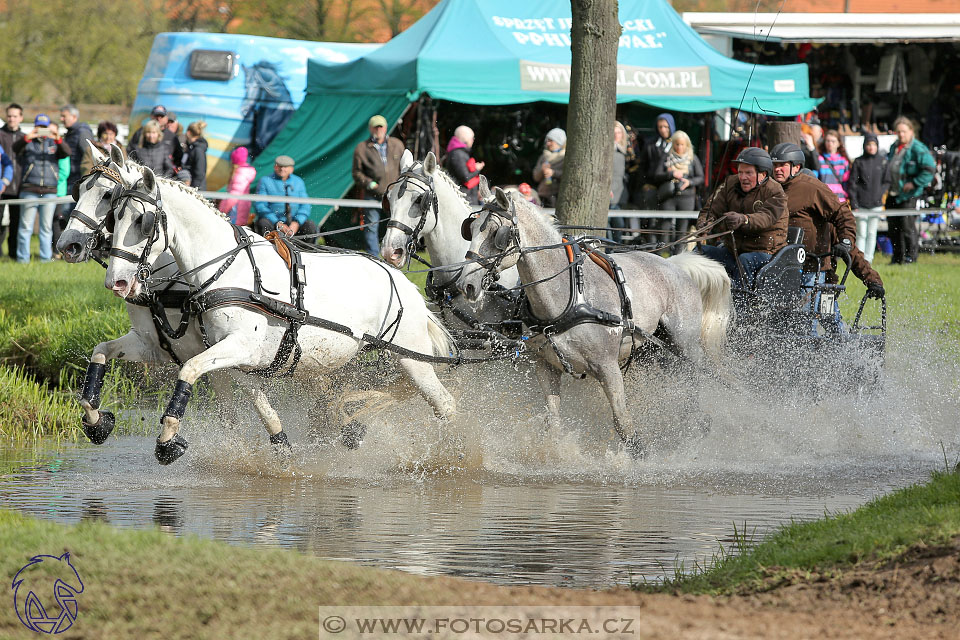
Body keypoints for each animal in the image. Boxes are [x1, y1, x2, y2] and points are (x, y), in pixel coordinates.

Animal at [99, 149, 456, 464]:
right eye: (113, 217)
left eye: (142, 221)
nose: (117, 282)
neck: (227, 269)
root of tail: (405, 284)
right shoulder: (229, 353)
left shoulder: (239, 345)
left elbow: (188, 370)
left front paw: (167, 442)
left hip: (413, 359)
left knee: (445, 405)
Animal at [454, 185, 732, 456]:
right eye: (471, 229)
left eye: (496, 234)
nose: (466, 285)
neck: (568, 294)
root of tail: (674, 264)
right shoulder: (546, 366)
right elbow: (553, 420)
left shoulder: (607, 367)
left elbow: (622, 422)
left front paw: (639, 454)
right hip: (651, 350)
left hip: (684, 347)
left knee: (692, 384)